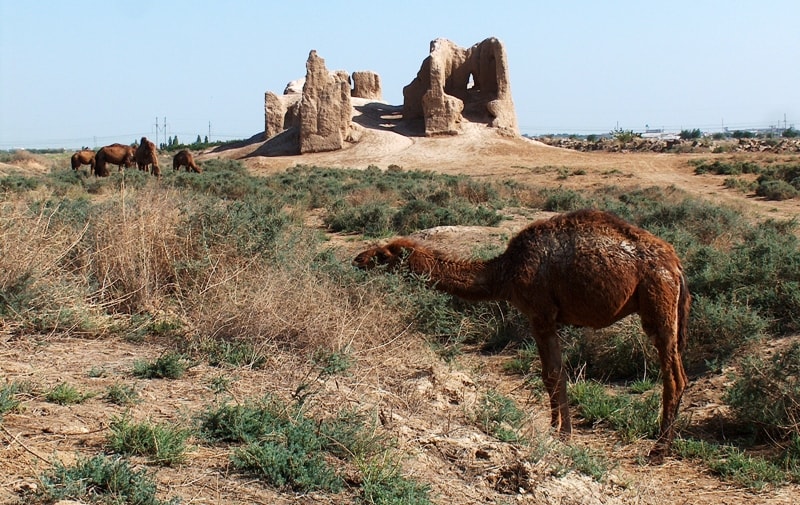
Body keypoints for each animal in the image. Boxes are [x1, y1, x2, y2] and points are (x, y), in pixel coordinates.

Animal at [354, 207, 692, 458]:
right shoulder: (545, 319)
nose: (358, 259)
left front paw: (563, 434)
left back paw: (659, 449)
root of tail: (676, 265)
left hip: (657, 299)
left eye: (383, 255)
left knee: (673, 375)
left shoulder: (539, 314)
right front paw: (557, 428)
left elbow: (553, 374)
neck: (505, 271)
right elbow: (552, 374)